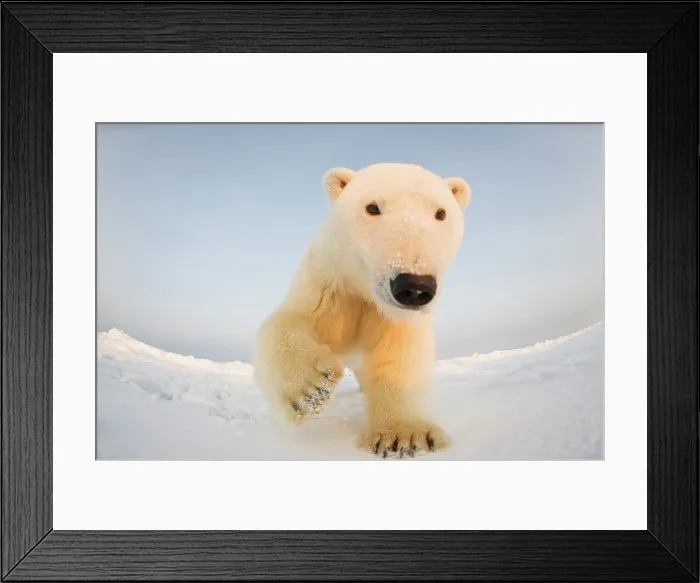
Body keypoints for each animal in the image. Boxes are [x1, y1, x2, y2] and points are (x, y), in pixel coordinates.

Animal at [253, 162, 471, 459]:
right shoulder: (331, 286)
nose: (414, 285)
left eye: (441, 213)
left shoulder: (394, 316)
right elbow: (289, 319)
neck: (364, 292)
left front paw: (404, 436)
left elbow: (400, 353)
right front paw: (311, 388)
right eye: (372, 207)